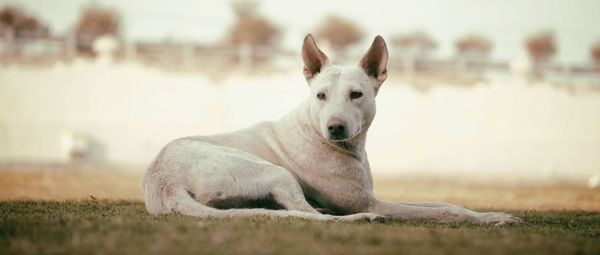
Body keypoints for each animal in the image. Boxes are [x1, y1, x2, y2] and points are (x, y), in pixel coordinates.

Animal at [142, 34, 520, 225]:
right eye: (320, 95)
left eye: (357, 94)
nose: (335, 128)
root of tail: (165, 187)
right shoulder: (369, 200)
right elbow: (444, 210)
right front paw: (495, 219)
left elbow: (445, 202)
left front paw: (492, 213)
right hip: (275, 172)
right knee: (308, 215)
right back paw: (358, 219)